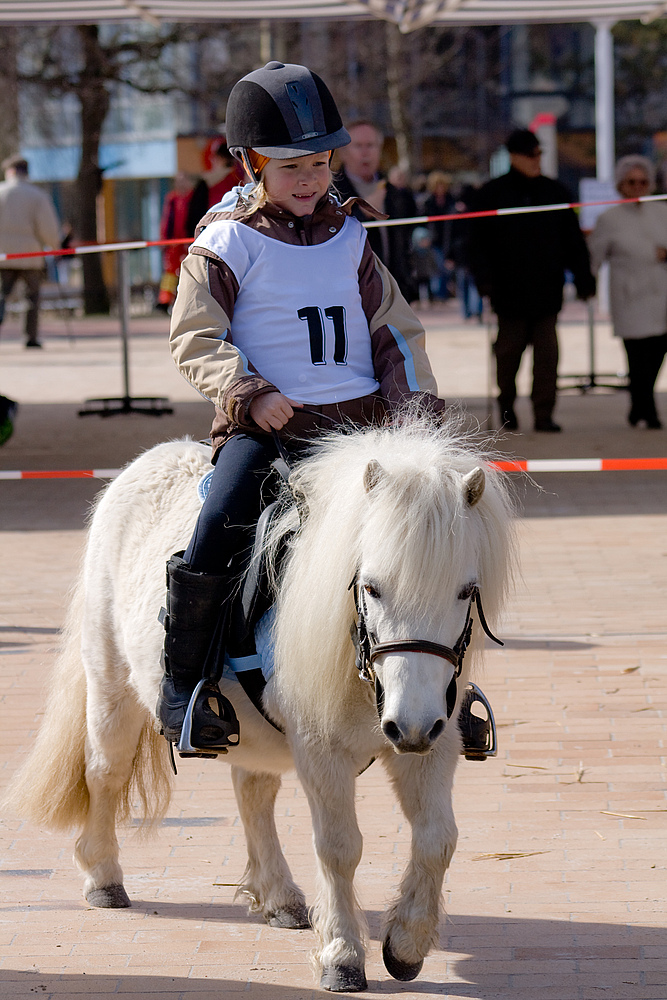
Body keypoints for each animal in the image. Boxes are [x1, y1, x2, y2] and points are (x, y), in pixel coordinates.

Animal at [3, 414, 516, 992]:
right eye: (372, 587)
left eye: (465, 591)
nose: (409, 725)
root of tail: (147, 462)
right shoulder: (321, 749)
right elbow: (339, 846)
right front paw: (342, 956)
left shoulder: (433, 742)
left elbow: (437, 840)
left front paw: (405, 944)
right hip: (110, 684)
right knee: (104, 773)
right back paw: (103, 879)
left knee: (253, 791)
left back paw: (279, 897)